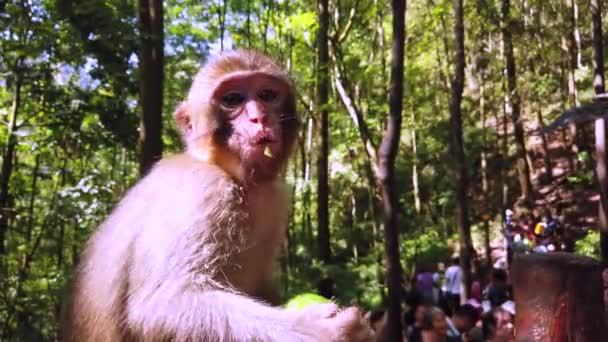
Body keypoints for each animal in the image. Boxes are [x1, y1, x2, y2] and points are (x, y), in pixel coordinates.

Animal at [61, 50, 376, 342]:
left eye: (267, 95)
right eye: (233, 99)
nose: (259, 117)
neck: (231, 174)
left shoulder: (275, 197)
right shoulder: (202, 190)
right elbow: (162, 303)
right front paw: (321, 330)